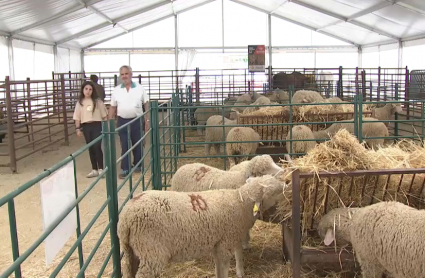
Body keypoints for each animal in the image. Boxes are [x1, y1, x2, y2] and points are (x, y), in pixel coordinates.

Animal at [117, 176, 286, 278]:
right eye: (274, 190)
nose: (286, 183)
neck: (240, 201)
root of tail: (126, 216)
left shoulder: (218, 244)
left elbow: (219, 268)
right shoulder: (225, 243)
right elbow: (224, 268)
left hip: (131, 251)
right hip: (152, 251)